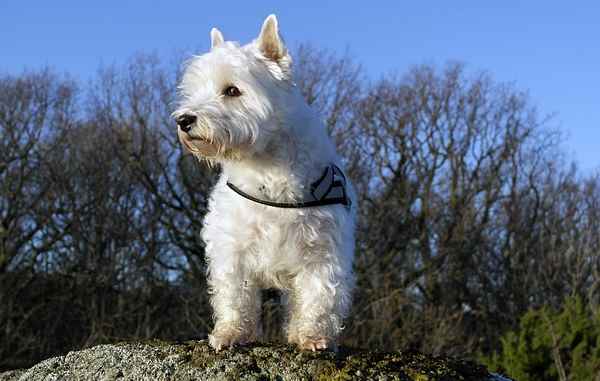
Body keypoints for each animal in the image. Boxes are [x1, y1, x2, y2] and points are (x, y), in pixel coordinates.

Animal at [176, 15, 358, 354]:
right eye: (195, 89)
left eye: (232, 90)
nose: (184, 120)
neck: (267, 167)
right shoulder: (233, 249)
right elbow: (236, 297)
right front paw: (230, 334)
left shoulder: (322, 251)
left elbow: (318, 296)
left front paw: (312, 336)